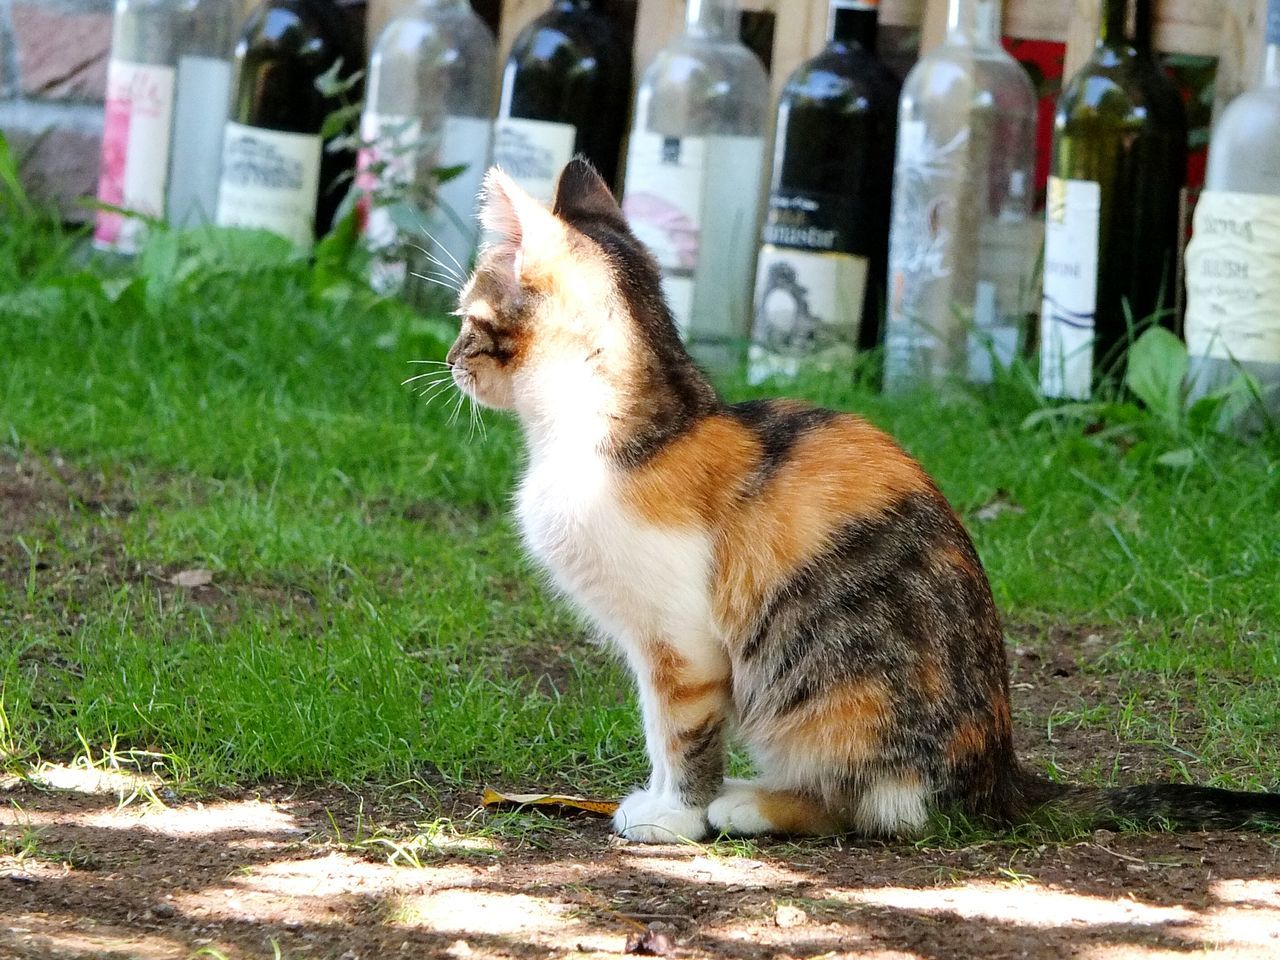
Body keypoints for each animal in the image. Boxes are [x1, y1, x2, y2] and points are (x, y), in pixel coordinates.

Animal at [442, 156, 1280, 839]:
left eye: (469, 318)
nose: (449, 361)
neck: (636, 432)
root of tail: (1001, 775)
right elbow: (659, 728)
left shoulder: (681, 641)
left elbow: (679, 731)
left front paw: (673, 815)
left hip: (835, 699)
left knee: (880, 806)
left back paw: (751, 803)